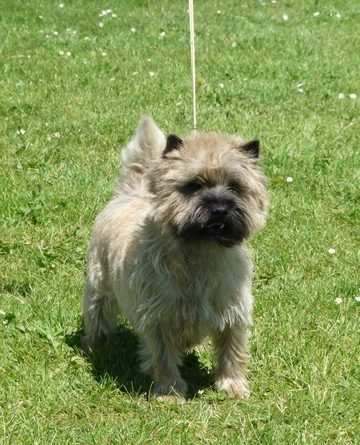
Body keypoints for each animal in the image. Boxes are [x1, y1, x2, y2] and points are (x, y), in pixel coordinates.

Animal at [82, 116, 268, 398]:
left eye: (235, 186)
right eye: (194, 185)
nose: (219, 208)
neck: (201, 252)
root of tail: (131, 192)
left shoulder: (234, 312)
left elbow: (232, 350)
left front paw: (232, 385)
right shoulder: (157, 317)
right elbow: (163, 356)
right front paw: (170, 391)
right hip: (99, 282)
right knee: (97, 313)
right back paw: (94, 344)